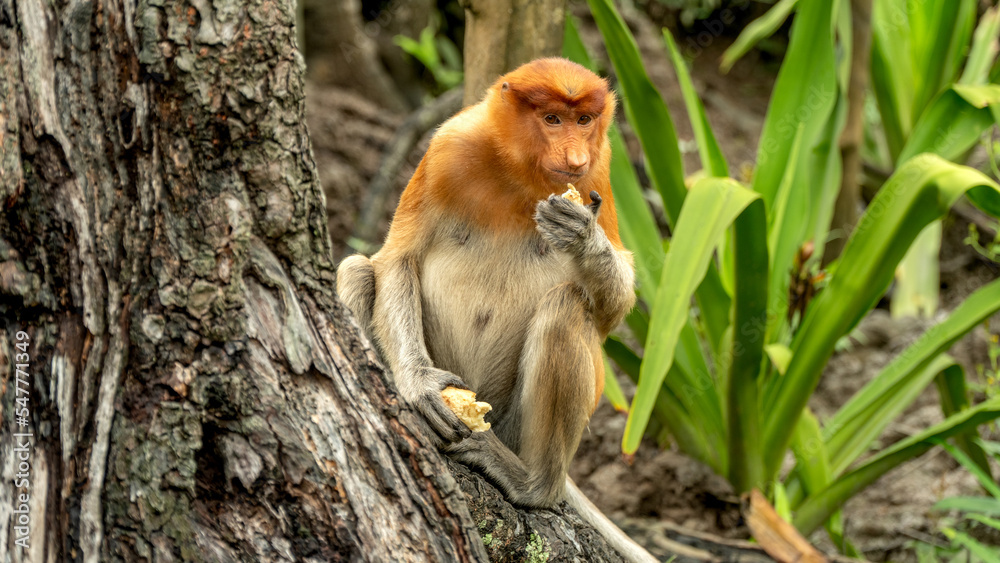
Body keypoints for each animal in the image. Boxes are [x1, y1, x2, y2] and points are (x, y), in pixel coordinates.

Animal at [338, 58, 655, 562]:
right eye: (553, 119)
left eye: (585, 120)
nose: (575, 160)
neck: (520, 171)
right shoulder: (444, 149)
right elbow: (397, 259)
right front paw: (422, 388)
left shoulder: (601, 171)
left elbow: (612, 310)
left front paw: (582, 235)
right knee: (356, 270)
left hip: (515, 426)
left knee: (566, 307)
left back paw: (534, 485)